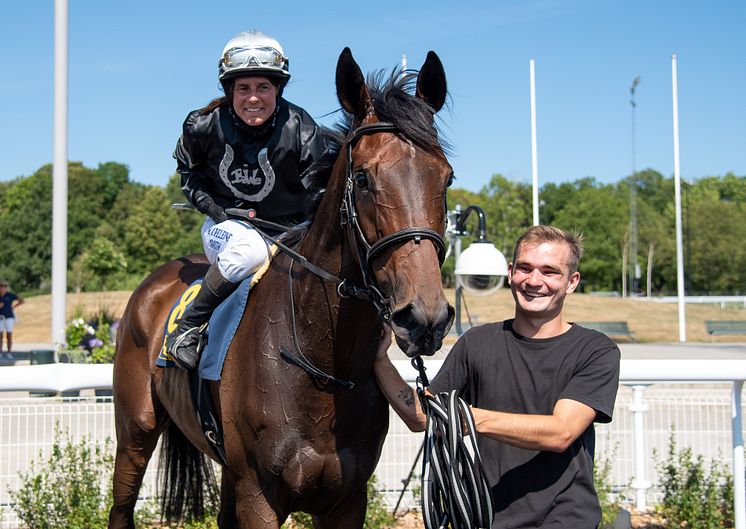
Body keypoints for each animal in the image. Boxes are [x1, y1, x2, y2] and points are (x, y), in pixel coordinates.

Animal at [107, 47, 450, 524]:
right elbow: (188, 167)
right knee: (121, 505)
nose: (424, 318)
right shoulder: (259, 495)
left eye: (447, 177)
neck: (324, 367)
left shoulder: (347, 498)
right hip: (135, 431)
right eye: (363, 178)